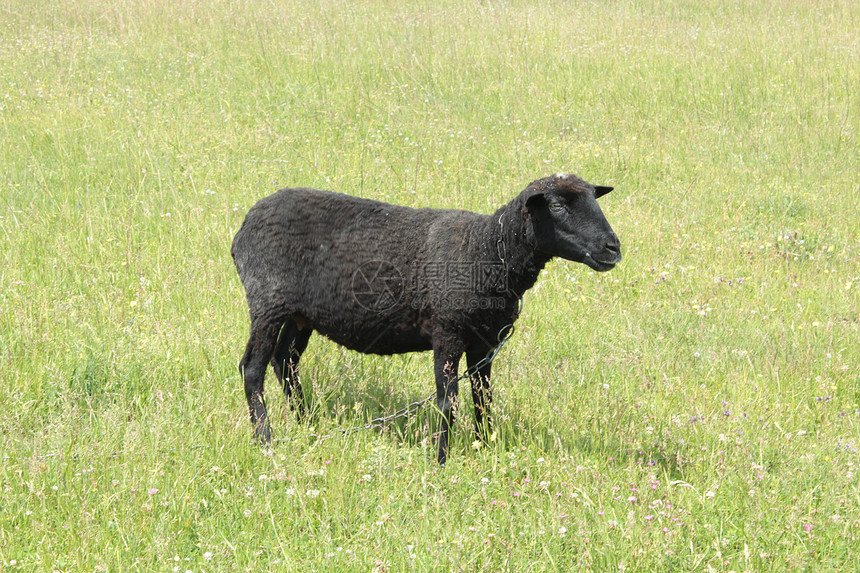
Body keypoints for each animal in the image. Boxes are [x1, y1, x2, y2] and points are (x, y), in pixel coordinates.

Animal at [232, 172, 620, 462]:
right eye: (555, 205)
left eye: (595, 200)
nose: (614, 248)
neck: (485, 250)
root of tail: (245, 223)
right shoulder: (447, 331)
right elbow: (448, 402)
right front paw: (441, 461)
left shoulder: (484, 343)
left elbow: (483, 397)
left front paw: (485, 447)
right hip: (267, 301)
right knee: (252, 368)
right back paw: (265, 440)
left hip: (299, 314)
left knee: (285, 361)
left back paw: (306, 423)